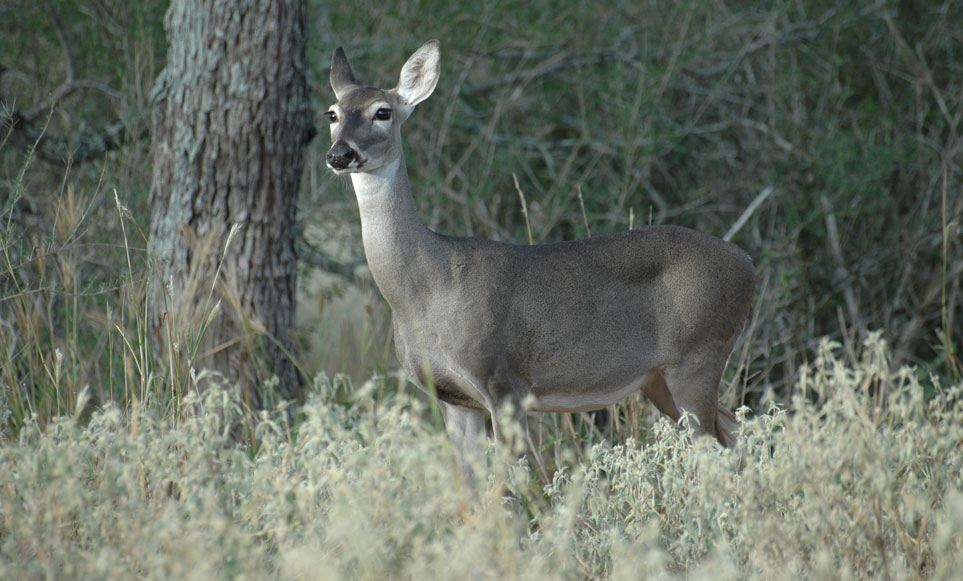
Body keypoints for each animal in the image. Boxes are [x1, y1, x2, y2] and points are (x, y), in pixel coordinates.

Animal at [328, 40, 756, 480]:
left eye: (383, 111)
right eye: (333, 113)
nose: (340, 153)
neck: (424, 289)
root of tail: (748, 264)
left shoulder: (503, 382)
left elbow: (513, 482)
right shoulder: (454, 399)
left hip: (697, 356)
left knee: (718, 447)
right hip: (660, 380)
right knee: (737, 430)